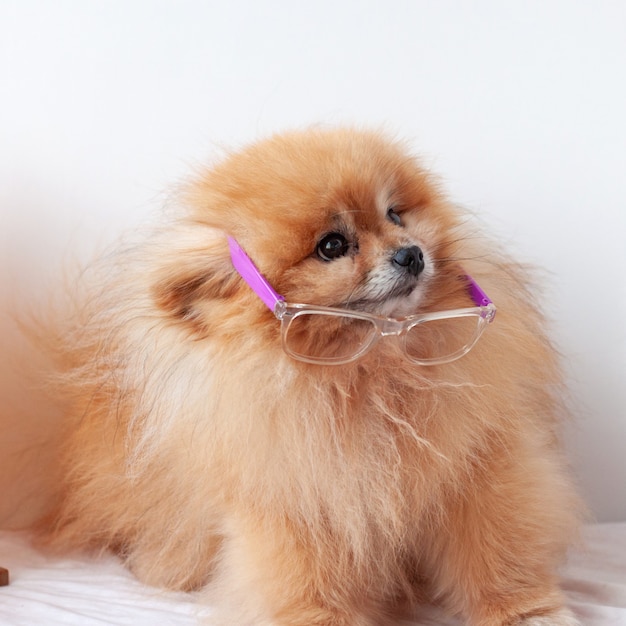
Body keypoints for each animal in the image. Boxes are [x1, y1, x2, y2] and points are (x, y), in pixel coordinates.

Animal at [36, 128, 584, 624]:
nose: (411, 253)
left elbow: (498, 550)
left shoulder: (480, 469)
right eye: (332, 246)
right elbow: (308, 578)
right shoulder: (301, 498)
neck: (371, 367)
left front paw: (525, 612)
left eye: (395, 214)